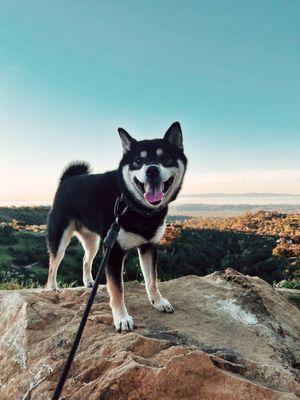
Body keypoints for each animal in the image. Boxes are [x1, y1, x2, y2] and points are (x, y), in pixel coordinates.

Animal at [46, 122, 188, 332]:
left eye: (166, 158)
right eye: (138, 160)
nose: (152, 170)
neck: (133, 206)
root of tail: (66, 180)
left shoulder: (149, 247)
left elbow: (152, 280)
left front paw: (158, 301)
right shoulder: (114, 251)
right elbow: (117, 289)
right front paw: (121, 318)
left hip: (95, 241)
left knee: (85, 260)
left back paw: (89, 282)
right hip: (61, 238)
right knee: (53, 264)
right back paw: (52, 287)